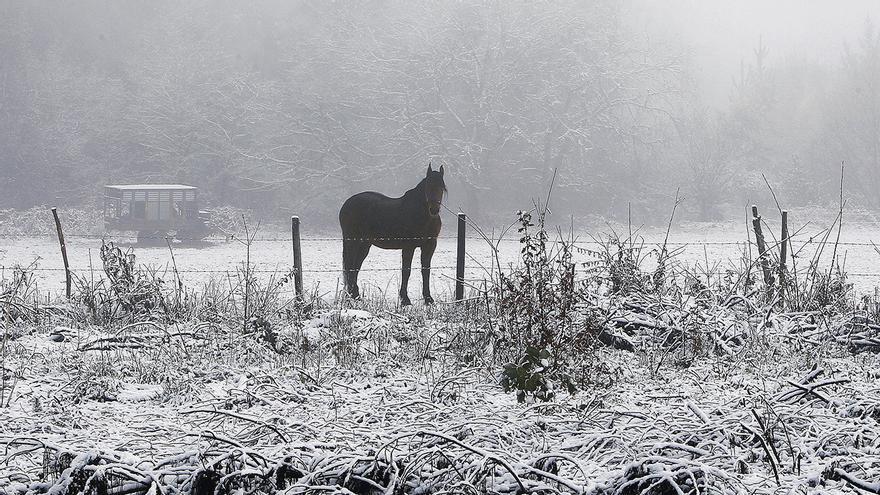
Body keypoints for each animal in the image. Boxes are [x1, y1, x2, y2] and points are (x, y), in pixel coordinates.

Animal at [336, 164, 446, 306]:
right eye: (428, 186)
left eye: (441, 188)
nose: (434, 209)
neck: (422, 215)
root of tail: (347, 203)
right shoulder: (409, 247)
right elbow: (406, 271)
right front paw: (405, 299)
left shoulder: (430, 246)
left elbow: (425, 270)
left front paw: (428, 299)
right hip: (352, 242)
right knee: (350, 266)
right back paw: (350, 296)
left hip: (364, 245)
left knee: (355, 266)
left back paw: (355, 295)